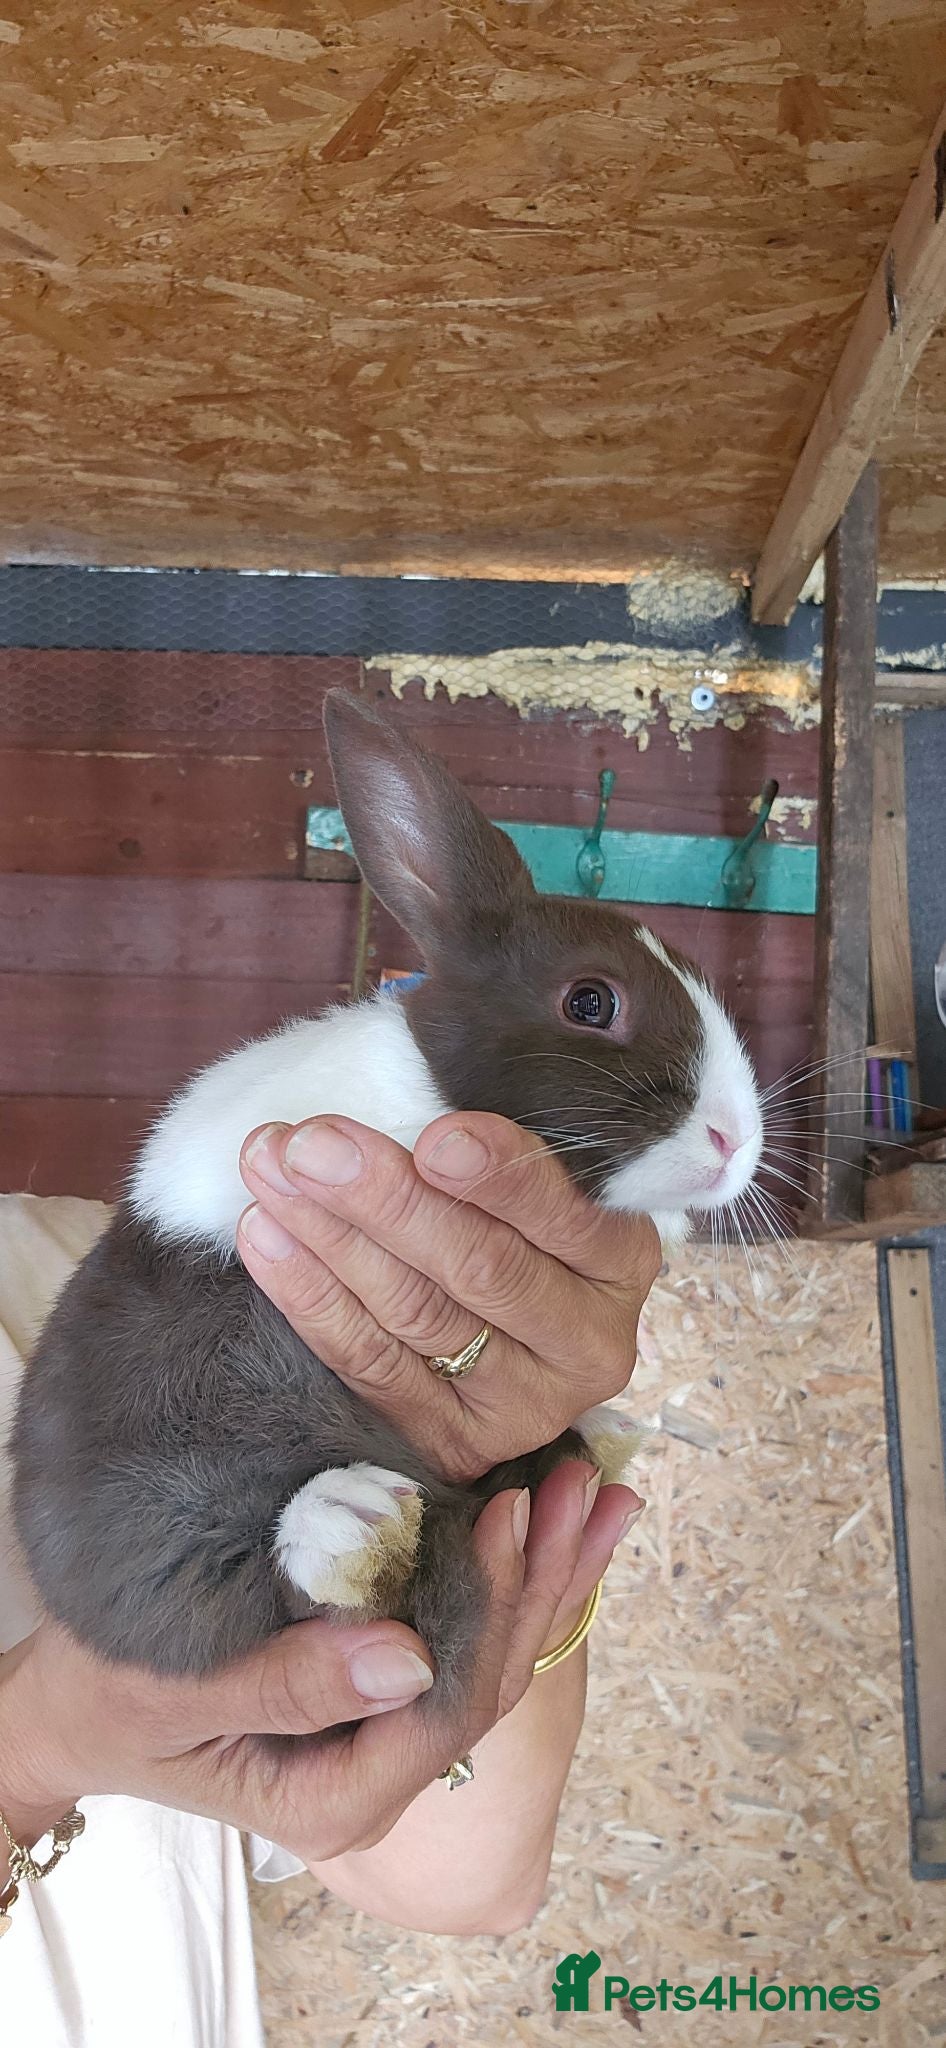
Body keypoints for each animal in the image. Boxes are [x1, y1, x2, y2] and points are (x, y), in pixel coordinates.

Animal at [10, 691, 763, 1703]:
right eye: (591, 1003)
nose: (736, 1142)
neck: (430, 1095)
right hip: (182, 1501)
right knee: (305, 1591)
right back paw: (351, 1521)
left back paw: (596, 1438)